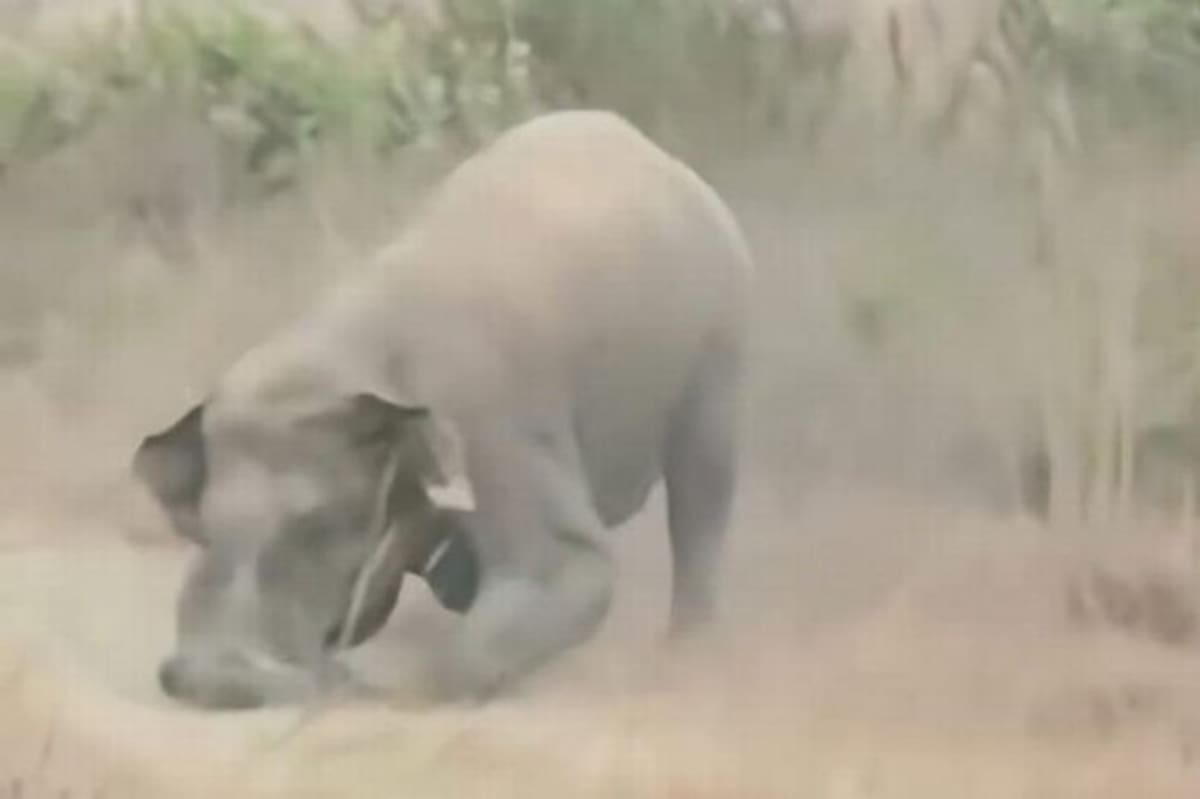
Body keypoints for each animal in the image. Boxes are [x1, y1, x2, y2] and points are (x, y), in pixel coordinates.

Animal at [133, 110, 754, 710]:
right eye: (204, 522)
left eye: (317, 526)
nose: (194, 681)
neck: (351, 343)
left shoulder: (494, 417)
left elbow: (574, 563)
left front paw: (390, 684)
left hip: (720, 336)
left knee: (701, 485)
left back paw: (686, 652)